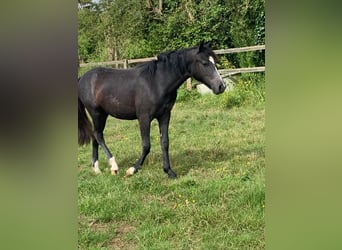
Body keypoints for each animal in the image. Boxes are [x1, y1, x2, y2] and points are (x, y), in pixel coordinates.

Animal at [78, 42, 226, 178]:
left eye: (215, 61)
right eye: (204, 63)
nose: (221, 86)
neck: (157, 82)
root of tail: (83, 78)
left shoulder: (165, 115)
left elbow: (165, 142)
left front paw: (169, 171)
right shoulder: (144, 117)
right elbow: (146, 145)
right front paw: (132, 169)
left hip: (103, 114)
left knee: (95, 136)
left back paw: (96, 168)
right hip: (96, 113)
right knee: (98, 135)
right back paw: (114, 166)